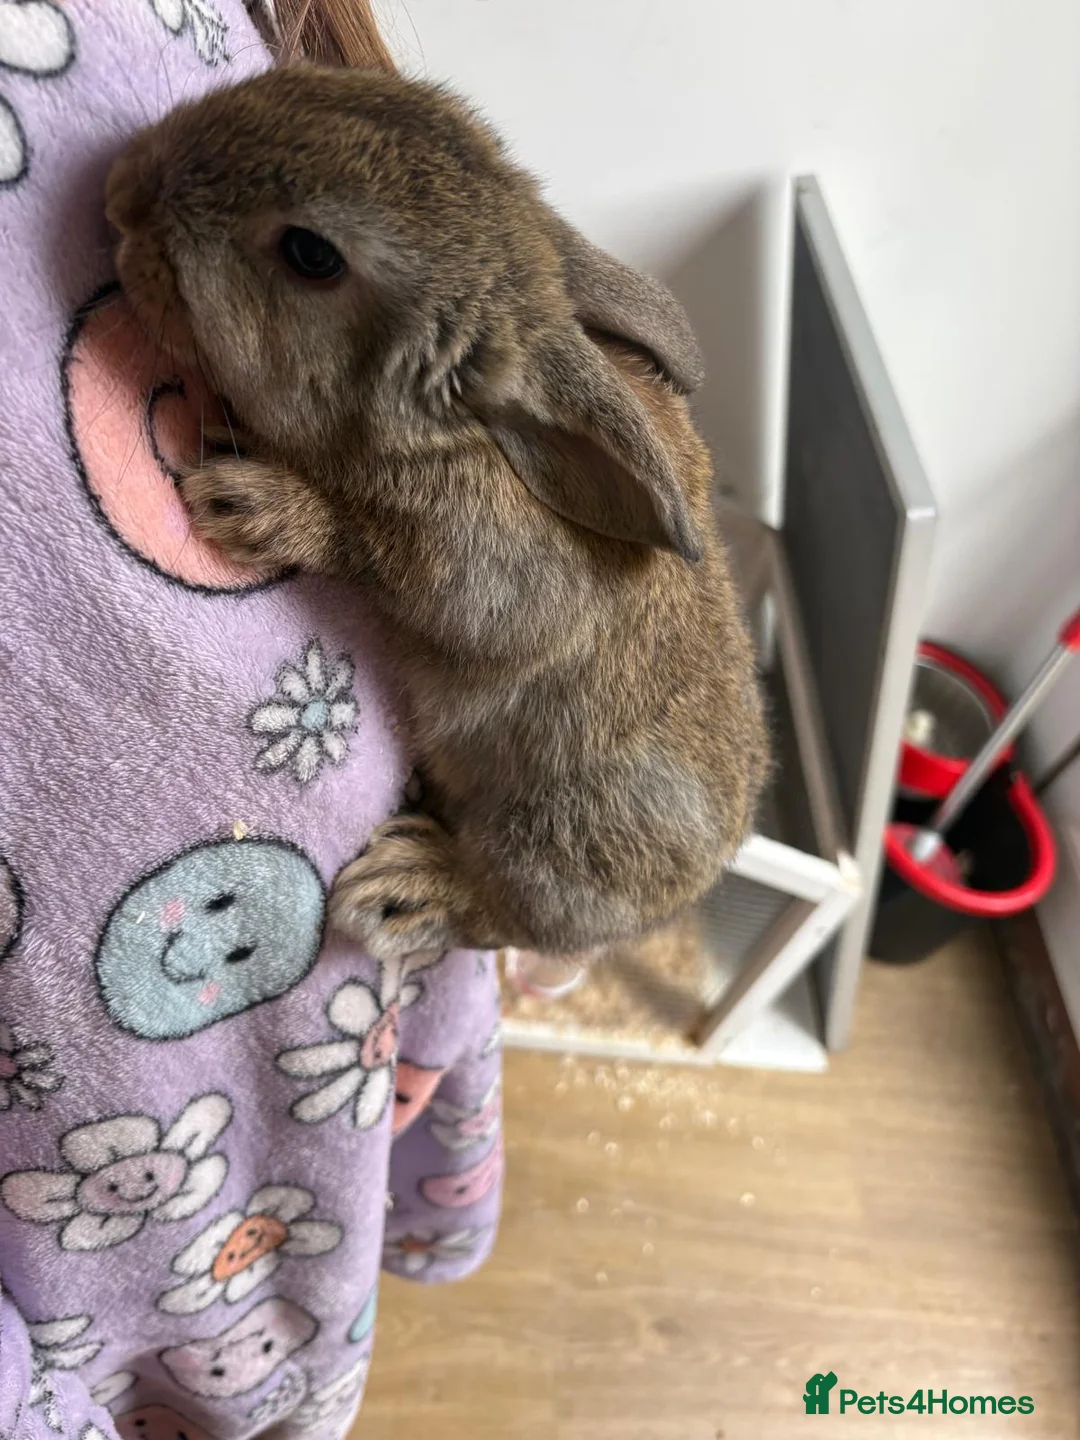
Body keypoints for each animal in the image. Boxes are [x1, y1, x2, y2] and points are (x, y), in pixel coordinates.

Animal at [105, 63, 768, 963]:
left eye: (311, 255)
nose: (122, 190)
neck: (451, 434)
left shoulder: (489, 574)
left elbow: (382, 551)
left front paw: (250, 502)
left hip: (555, 849)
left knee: (503, 916)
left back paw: (407, 887)